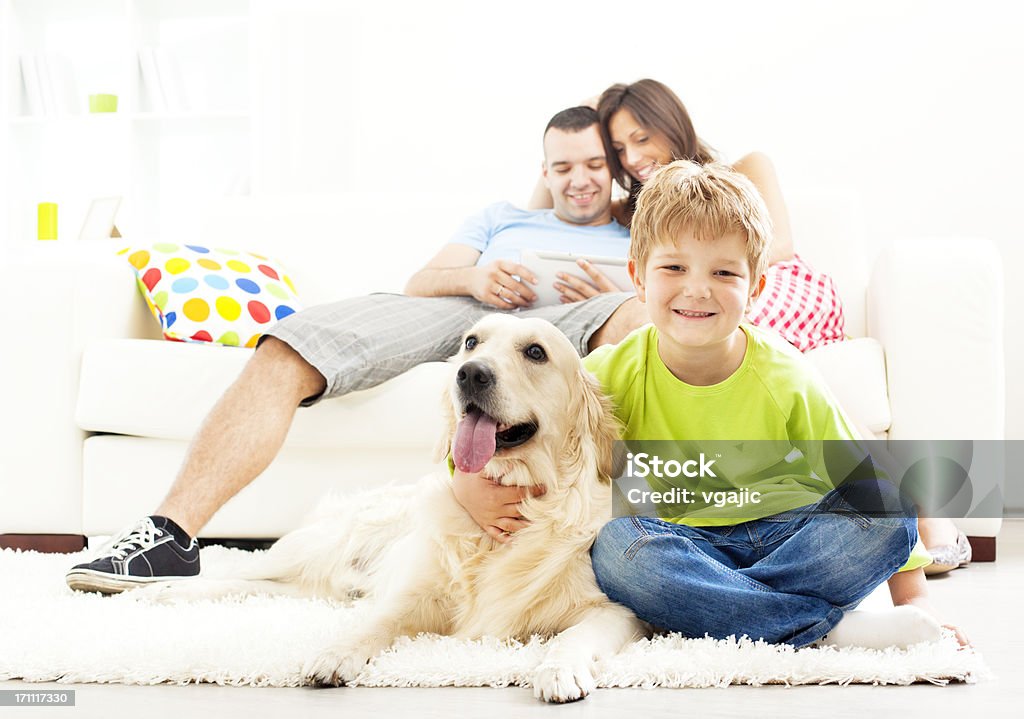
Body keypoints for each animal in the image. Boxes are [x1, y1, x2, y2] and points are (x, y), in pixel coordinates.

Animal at [140, 315, 643, 704]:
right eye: (471, 343)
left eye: (536, 352)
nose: (470, 374)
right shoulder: (414, 595)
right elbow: (377, 622)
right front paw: (336, 653)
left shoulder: (617, 610)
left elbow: (575, 635)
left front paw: (559, 669)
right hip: (324, 543)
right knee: (242, 571)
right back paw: (164, 589)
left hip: (324, 584)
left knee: (279, 589)